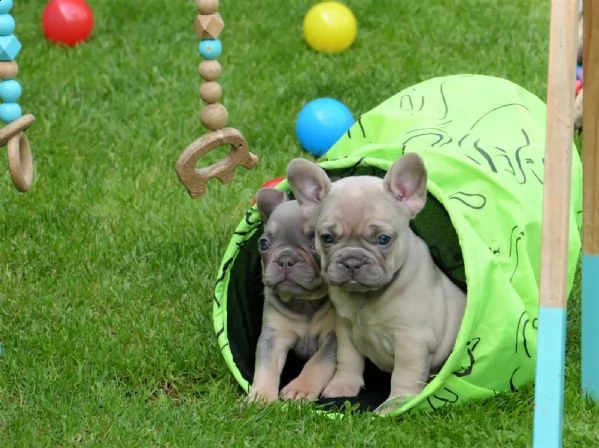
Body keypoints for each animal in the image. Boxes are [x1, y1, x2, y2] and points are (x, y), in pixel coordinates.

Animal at [247, 187, 338, 404]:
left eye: (316, 244)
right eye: (263, 244)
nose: (285, 259)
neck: (304, 302)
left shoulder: (335, 338)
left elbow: (318, 361)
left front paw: (300, 389)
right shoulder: (273, 337)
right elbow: (266, 367)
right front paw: (261, 397)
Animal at [286, 153, 468, 412]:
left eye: (383, 239)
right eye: (327, 238)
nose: (352, 261)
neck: (367, 297)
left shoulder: (412, 341)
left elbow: (404, 374)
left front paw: (396, 404)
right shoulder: (345, 330)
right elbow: (348, 360)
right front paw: (343, 386)